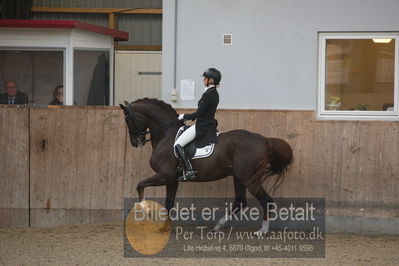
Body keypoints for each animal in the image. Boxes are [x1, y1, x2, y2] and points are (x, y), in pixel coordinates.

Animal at [119, 98, 294, 235]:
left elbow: (140, 186)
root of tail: (264, 140)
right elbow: (169, 203)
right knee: (240, 202)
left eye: (128, 120)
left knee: (266, 200)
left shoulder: (165, 175)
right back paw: (218, 226)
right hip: (239, 177)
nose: (136, 142)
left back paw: (262, 231)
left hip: (249, 179)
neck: (166, 135)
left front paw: (146, 211)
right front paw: (164, 227)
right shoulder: (172, 180)